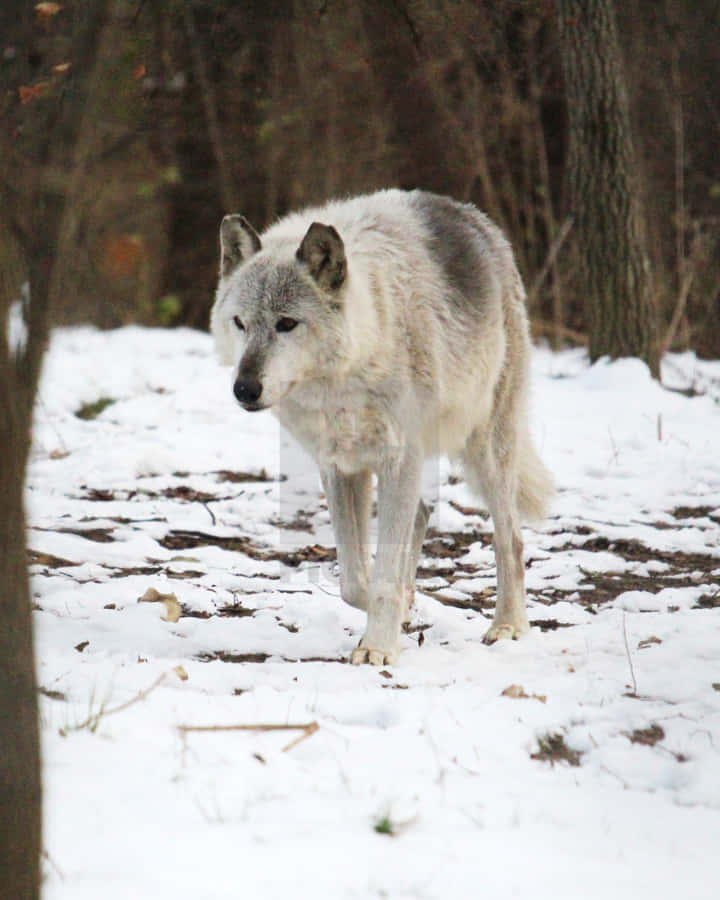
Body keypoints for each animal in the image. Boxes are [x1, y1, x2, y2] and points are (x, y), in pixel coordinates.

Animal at [211, 189, 553, 665]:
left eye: (286, 323)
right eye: (240, 323)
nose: (244, 388)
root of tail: (473, 217)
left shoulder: (398, 459)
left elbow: (382, 575)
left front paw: (378, 647)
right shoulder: (340, 467)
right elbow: (355, 580)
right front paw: (394, 613)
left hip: (485, 449)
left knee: (512, 540)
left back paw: (508, 626)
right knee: (423, 514)